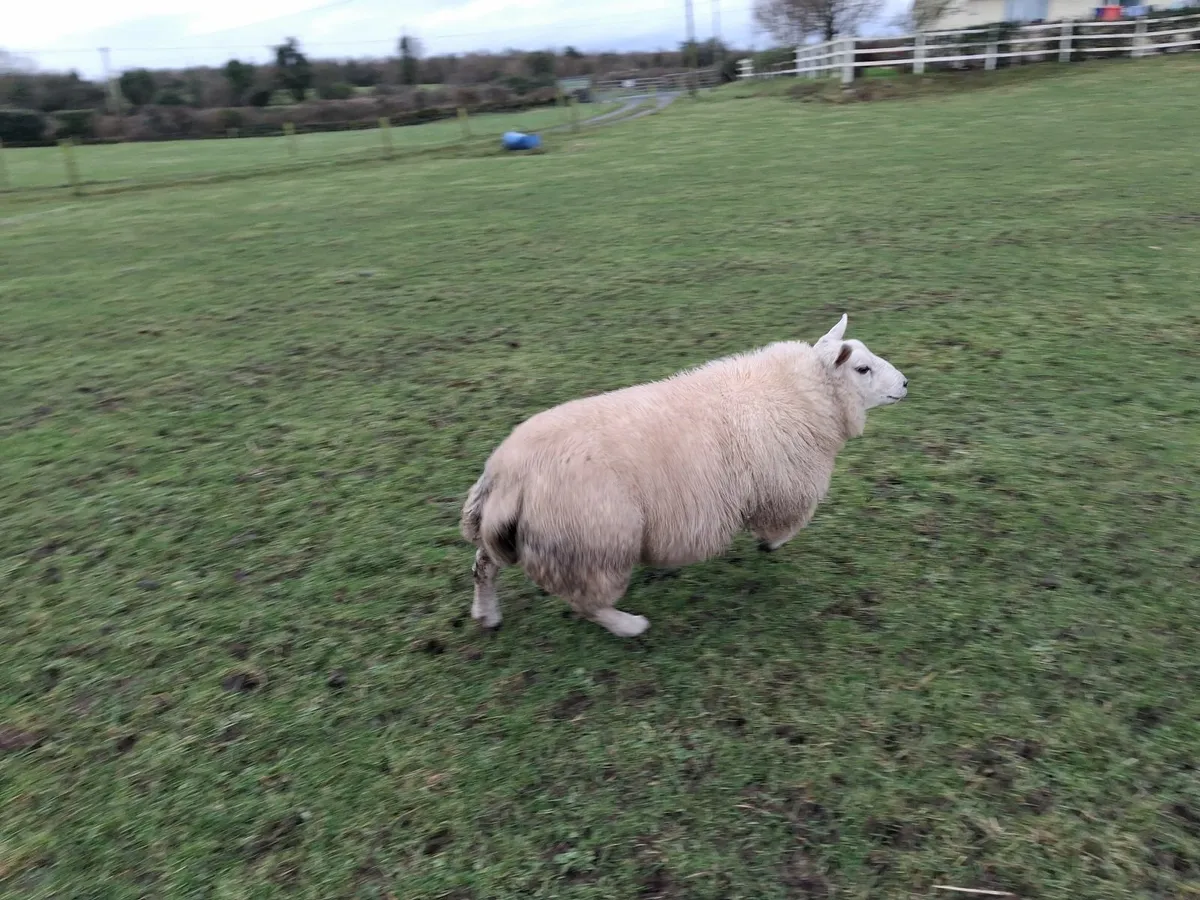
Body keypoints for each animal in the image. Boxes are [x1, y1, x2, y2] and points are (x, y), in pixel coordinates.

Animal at [459, 314, 908, 637]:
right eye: (862, 369)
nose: (905, 383)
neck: (798, 394)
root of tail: (506, 472)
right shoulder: (783, 487)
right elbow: (786, 525)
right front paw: (770, 543)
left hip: (515, 535)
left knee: (484, 566)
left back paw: (487, 615)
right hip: (597, 542)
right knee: (588, 602)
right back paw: (630, 626)